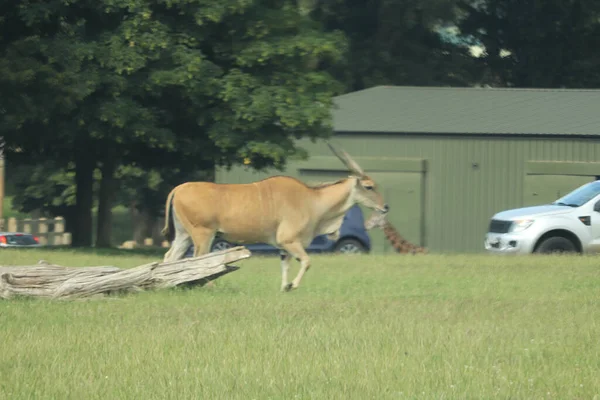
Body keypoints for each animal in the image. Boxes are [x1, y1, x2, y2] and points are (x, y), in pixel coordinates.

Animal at [162, 144, 386, 290]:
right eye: (369, 186)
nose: (385, 207)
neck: (311, 199)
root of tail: (178, 188)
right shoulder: (289, 240)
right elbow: (306, 261)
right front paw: (291, 286)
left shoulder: (283, 247)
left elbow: (286, 266)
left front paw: (284, 287)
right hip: (203, 234)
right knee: (198, 260)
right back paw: (206, 286)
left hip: (184, 235)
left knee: (170, 258)